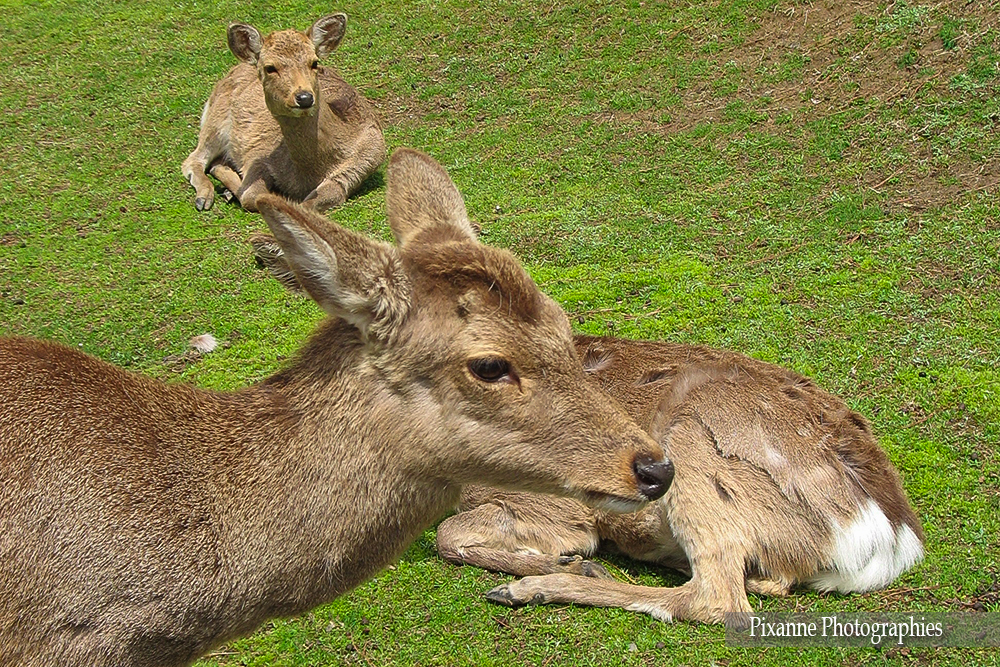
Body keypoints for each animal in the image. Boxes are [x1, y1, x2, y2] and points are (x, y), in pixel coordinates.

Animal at [181, 13, 386, 213]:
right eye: (270, 67)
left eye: (314, 62)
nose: (304, 97)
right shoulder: (257, 154)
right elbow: (252, 196)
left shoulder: (363, 164)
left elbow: (315, 201)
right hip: (215, 121)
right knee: (193, 159)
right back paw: (205, 198)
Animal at [250, 241, 926, 628]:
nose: (262, 250)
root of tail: (889, 536)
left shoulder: (549, 502)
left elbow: (450, 537)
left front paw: (551, 558)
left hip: (690, 448)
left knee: (717, 600)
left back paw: (535, 586)